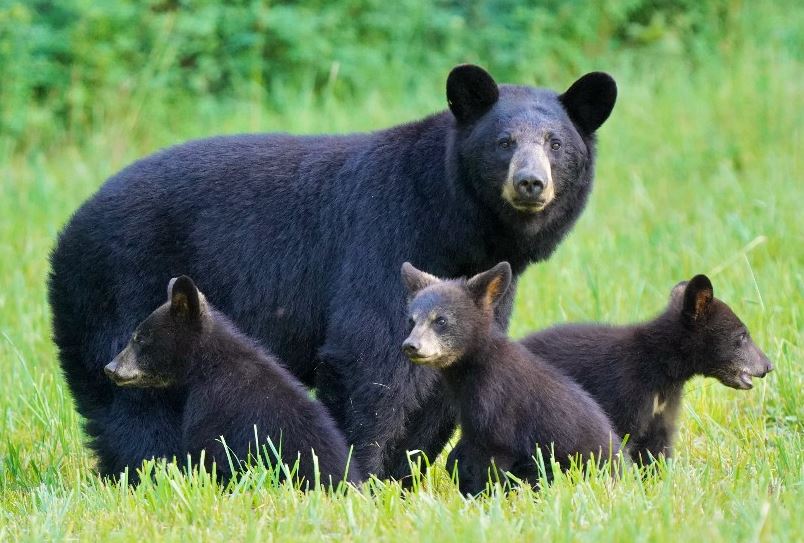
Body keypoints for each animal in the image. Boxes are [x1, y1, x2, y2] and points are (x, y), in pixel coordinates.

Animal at [400, 262, 620, 494]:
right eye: (411, 321)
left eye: (441, 320)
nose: (411, 346)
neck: (473, 371)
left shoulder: (499, 414)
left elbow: (492, 467)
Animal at [520, 274, 773, 464]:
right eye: (742, 336)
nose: (768, 365)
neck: (661, 369)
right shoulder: (623, 390)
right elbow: (617, 439)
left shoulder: (662, 409)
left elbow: (656, 447)